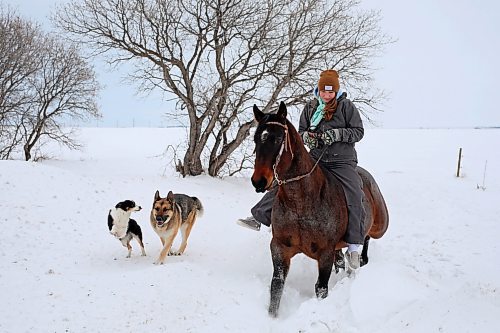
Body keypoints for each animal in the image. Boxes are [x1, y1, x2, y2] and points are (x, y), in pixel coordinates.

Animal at [252, 101, 388, 316]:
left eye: (277, 139)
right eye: (256, 138)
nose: (259, 181)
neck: (301, 202)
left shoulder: (325, 253)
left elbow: (321, 288)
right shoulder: (280, 247)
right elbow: (276, 286)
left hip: (379, 227)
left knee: (365, 238)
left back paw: (358, 258)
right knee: (342, 258)